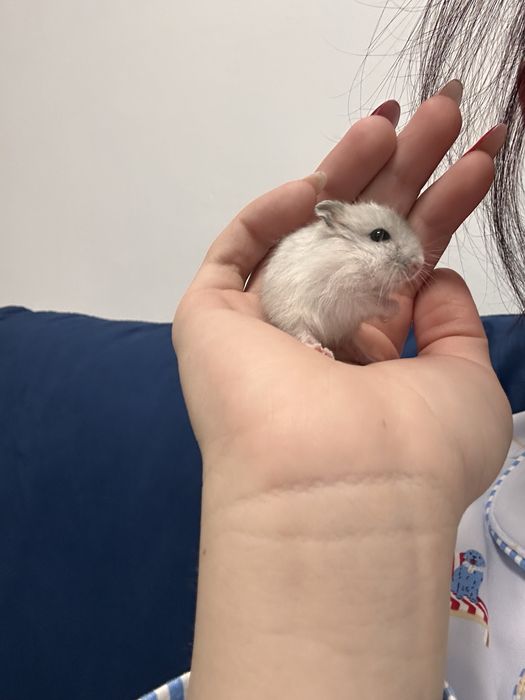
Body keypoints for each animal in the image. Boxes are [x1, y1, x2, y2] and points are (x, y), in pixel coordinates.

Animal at [259, 199, 425, 364]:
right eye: (379, 234)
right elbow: (381, 304)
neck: (356, 257)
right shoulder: (353, 296)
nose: (419, 264)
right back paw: (321, 350)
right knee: (302, 333)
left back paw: (369, 358)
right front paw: (395, 310)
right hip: (292, 316)